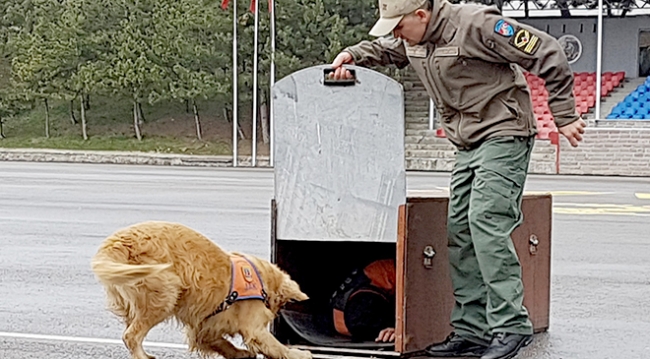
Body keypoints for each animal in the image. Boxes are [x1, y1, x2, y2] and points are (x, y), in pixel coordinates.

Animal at [90, 222, 310, 359]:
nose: (275, 314)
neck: (260, 277)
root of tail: (117, 242)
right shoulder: (254, 328)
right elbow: (275, 345)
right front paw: (299, 353)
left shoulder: (204, 327)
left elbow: (222, 343)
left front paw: (240, 353)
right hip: (164, 293)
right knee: (131, 335)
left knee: (130, 332)